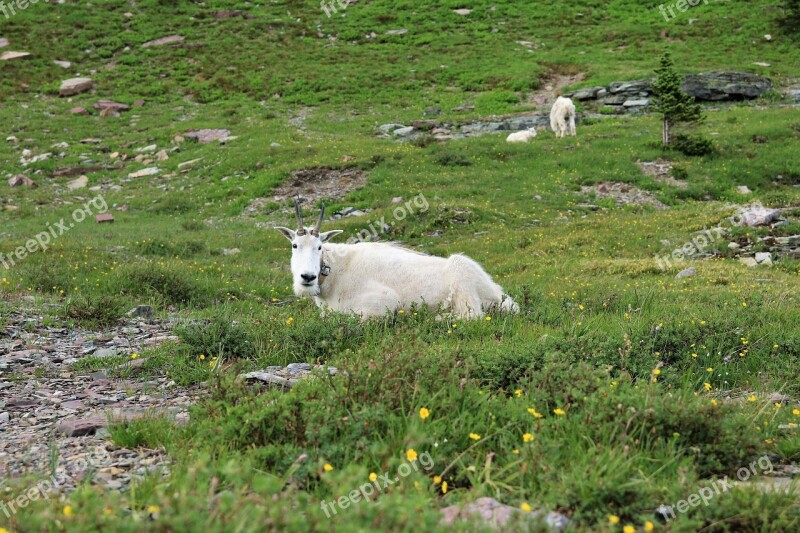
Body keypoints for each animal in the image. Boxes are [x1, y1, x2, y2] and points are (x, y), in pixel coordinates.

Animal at [276, 202, 520, 318]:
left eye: (319, 247)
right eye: (294, 245)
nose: (307, 277)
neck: (336, 273)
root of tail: (500, 295)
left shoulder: (382, 302)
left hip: (463, 282)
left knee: (472, 316)